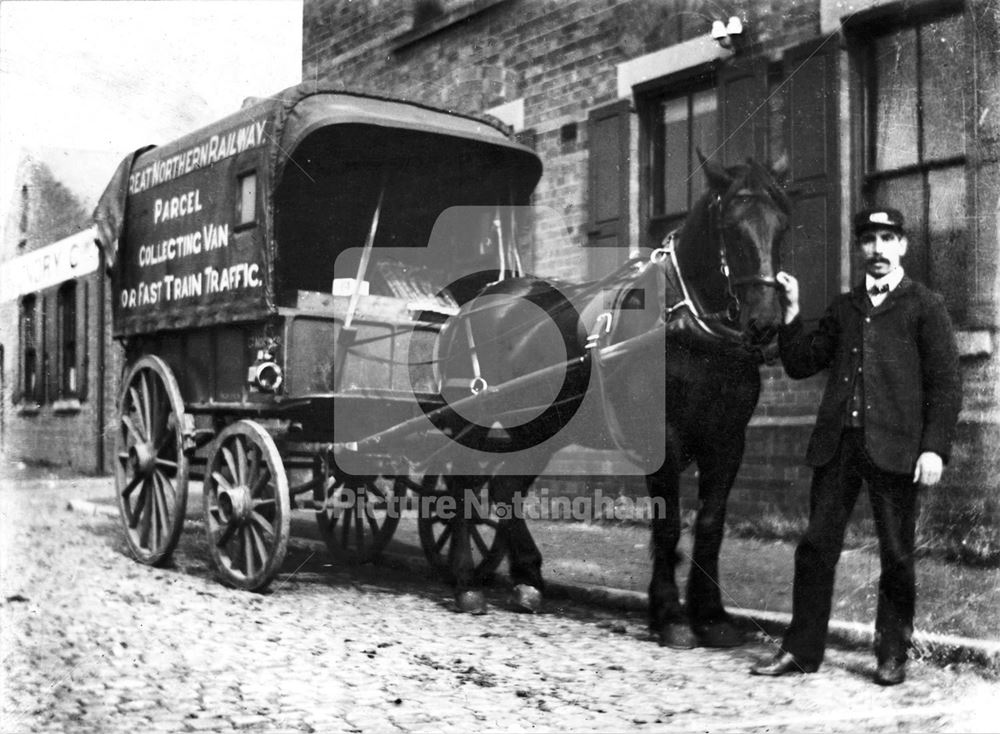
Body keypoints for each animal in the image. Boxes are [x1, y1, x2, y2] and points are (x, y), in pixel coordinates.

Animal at [438, 155, 788, 648]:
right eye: (733, 229)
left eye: (782, 227)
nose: (765, 322)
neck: (689, 327)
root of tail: (476, 302)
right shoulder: (662, 437)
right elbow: (668, 524)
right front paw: (672, 616)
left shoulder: (728, 441)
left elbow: (710, 524)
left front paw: (713, 616)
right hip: (475, 416)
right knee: (461, 486)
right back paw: (467, 583)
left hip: (541, 428)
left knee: (506, 490)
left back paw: (528, 579)